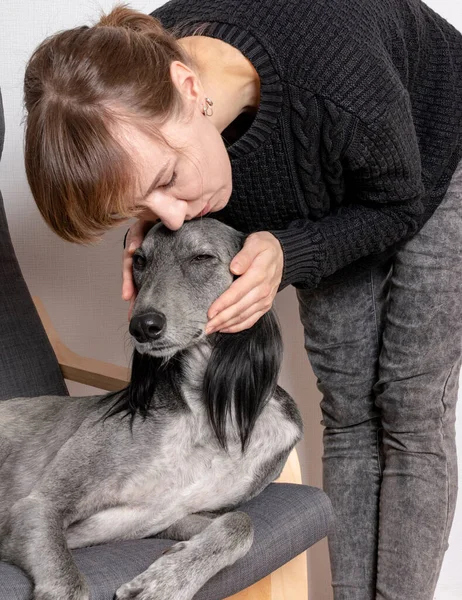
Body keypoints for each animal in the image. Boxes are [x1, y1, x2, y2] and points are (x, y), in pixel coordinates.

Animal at [0, 219, 304, 600]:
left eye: (202, 257)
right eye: (139, 261)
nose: (143, 326)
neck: (203, 411)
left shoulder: (168, 516)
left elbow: (241, 522)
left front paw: (168, 580)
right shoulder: (38, 508)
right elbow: (70, 585)